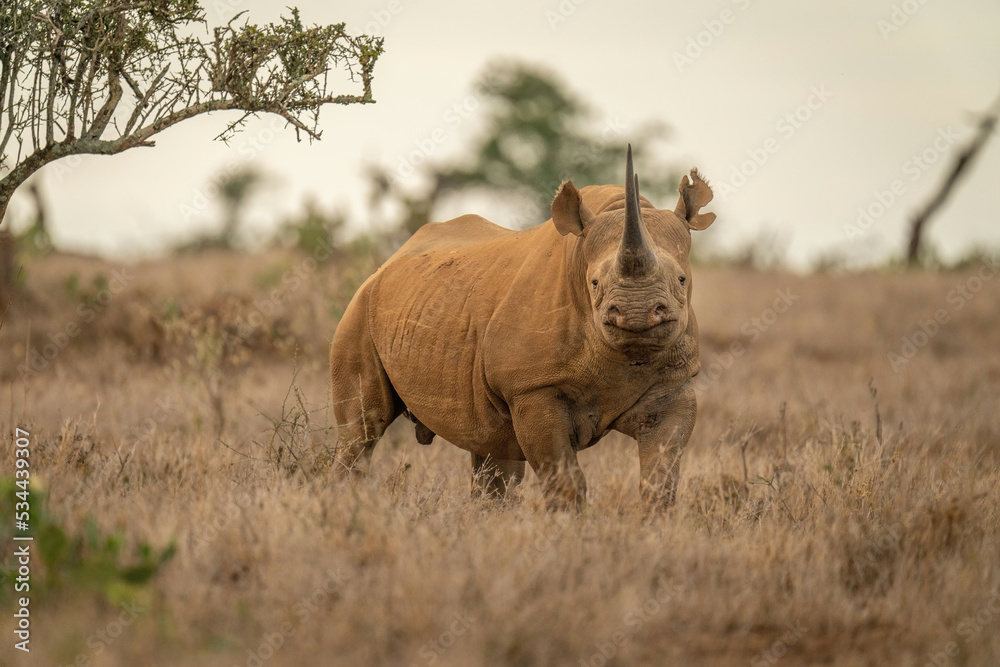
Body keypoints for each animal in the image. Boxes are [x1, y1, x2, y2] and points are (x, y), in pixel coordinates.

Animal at [330, 146, 715, 510]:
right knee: (362, 430)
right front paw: (567, 527)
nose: (636, 313)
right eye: (594, 284)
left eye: (682, 279)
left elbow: (661, 478)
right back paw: (344, 501)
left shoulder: (674, 383)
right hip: (360, 307)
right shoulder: (531, 388)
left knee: (492, 449)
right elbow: (565, 479)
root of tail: (389, 261)